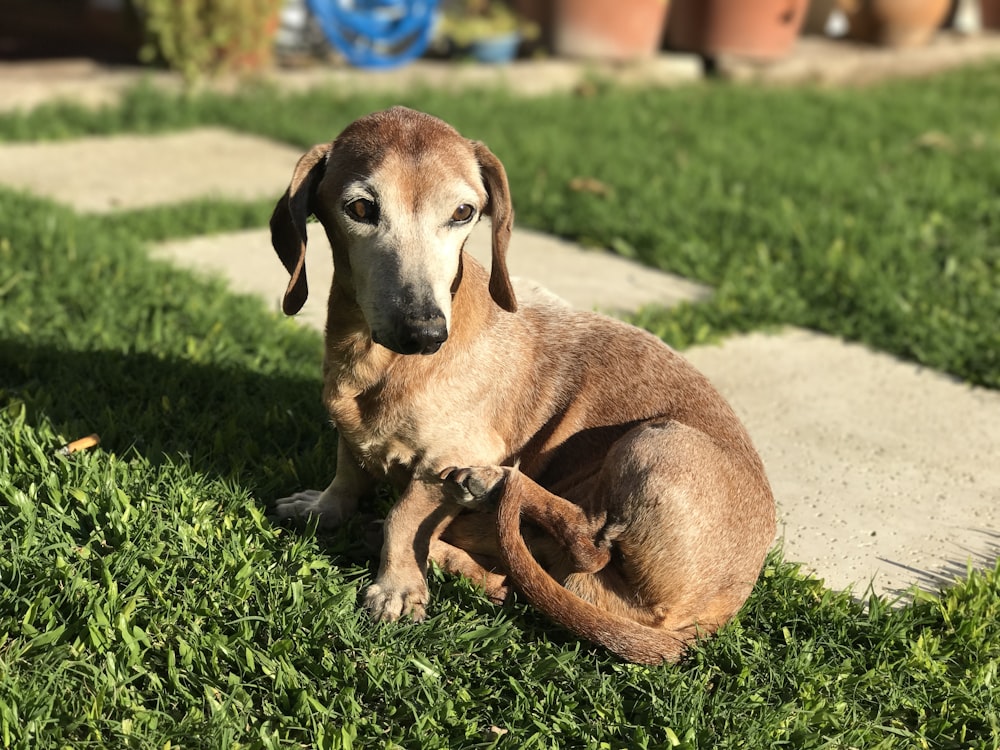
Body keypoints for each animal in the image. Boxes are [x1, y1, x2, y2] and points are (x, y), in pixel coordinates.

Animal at [268, 104, 772, 664]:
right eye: (359, 207)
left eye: (463, 213)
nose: (425, 332)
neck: (377, 363)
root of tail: (710, 617)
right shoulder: (351, 433)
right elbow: (347, 473)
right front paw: (323, 509)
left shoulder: (445, 460)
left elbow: (403, 517)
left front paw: (396, 587)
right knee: (528, 573)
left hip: (658, 441)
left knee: (589, 542)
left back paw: (484, 490)